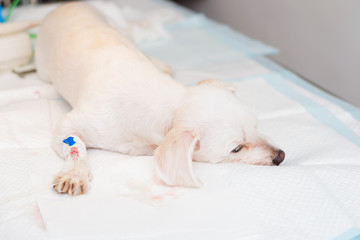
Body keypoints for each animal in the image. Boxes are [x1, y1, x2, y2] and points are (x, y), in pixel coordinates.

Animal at [35, 2, 284, 196]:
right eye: (237, 148)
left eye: (256, 127)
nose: (281, 156)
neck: (170, 101)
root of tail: (65, 5)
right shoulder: (73, 123)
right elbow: (75, 145)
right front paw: (75, 173)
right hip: (44, 70)